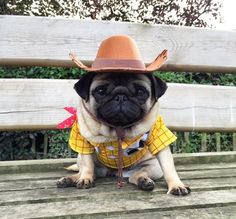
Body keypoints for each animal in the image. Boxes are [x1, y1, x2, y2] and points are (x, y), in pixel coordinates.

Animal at [56, 72, 190, 196]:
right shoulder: (82, 141)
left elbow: (168, 168)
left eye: (141, 92)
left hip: (154, 167)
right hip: (81, 159)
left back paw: (144, 181)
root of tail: (113, 172)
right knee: (89, 172)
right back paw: (70, 180)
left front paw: (176, 185)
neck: (117, 127)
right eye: (101, 91)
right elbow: (87, 166)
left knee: (135, 175)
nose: (120, 97)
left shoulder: (158, 134)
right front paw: (85, 179)